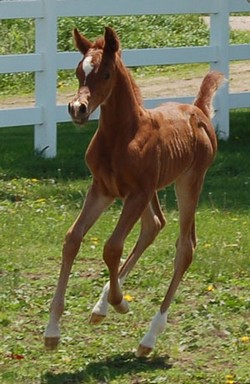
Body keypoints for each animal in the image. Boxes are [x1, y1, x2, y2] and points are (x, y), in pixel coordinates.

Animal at [44, 27, 224, 356]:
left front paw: (120, 303)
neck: (123, 135)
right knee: (154, 225)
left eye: (105, 74)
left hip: (188, 181)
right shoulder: (102, 190)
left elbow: (112, 247)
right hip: (151, 190)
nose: (77, 109)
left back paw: (149, 337)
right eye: (78, 72)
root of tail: (198, 110)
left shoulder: (135, 194)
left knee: (185, 246)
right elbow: (73, 239)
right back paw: (101, 307)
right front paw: (52, 331)